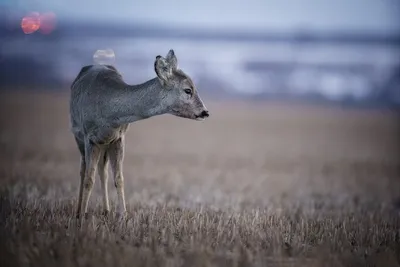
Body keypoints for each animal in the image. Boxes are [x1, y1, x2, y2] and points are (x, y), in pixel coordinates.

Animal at [70, 49, 209, 220]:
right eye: (188, 89)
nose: (204, 112)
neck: (108, 108)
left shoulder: (118, 138)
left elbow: (119, 178)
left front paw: (123, 215)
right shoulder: (89, 137)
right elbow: (89, 179)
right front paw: (83, 217)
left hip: (104, 144)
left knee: (103, 170)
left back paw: (106, 210)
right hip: (78, 135)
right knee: (83, 169)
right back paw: (78, 211)